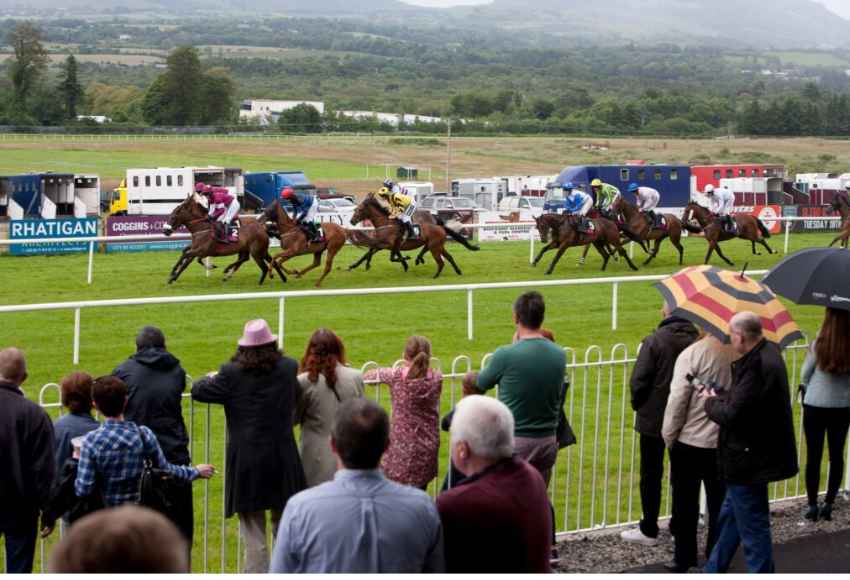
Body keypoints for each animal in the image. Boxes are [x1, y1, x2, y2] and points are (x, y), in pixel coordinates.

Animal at [344, 193, 476, 278]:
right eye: (356, 209)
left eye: (359, 209)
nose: (352, 221)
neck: (386, 223)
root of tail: (437, 222)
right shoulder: (385, 244)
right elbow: (369, 252)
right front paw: (354, 265)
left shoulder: (387, 244)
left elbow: (385, 255)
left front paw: (406, 261)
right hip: (435, 244)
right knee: (447, 256)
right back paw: (456, 271)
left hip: (432, 244)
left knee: (431, 252)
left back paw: (420, 260)